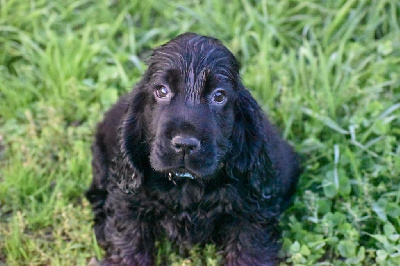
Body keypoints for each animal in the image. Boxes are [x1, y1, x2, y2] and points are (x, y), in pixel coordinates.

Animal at [87, 32, 300, 264]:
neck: (186, 184)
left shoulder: (252, 214)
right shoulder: (128, 205)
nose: (185, 145)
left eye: (219, 96)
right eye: (162, 91)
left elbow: (250, 251)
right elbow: (127, 246)